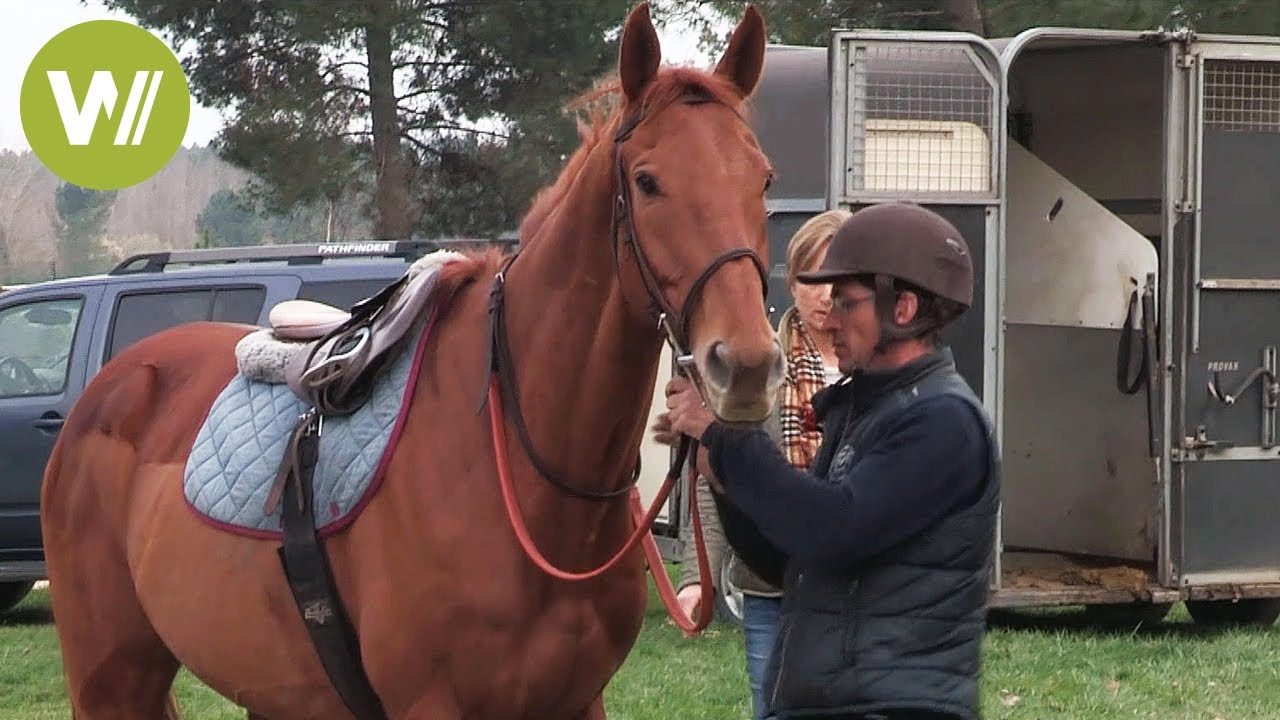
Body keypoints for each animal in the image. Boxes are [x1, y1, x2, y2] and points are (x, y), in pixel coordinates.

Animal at [40, 4, 781, 718]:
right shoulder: (431, 702)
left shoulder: (578, 700)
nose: (744, 363)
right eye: (647, 181)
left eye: (763, 178)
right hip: (111, 679)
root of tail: (114, 387)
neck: (519, 470)